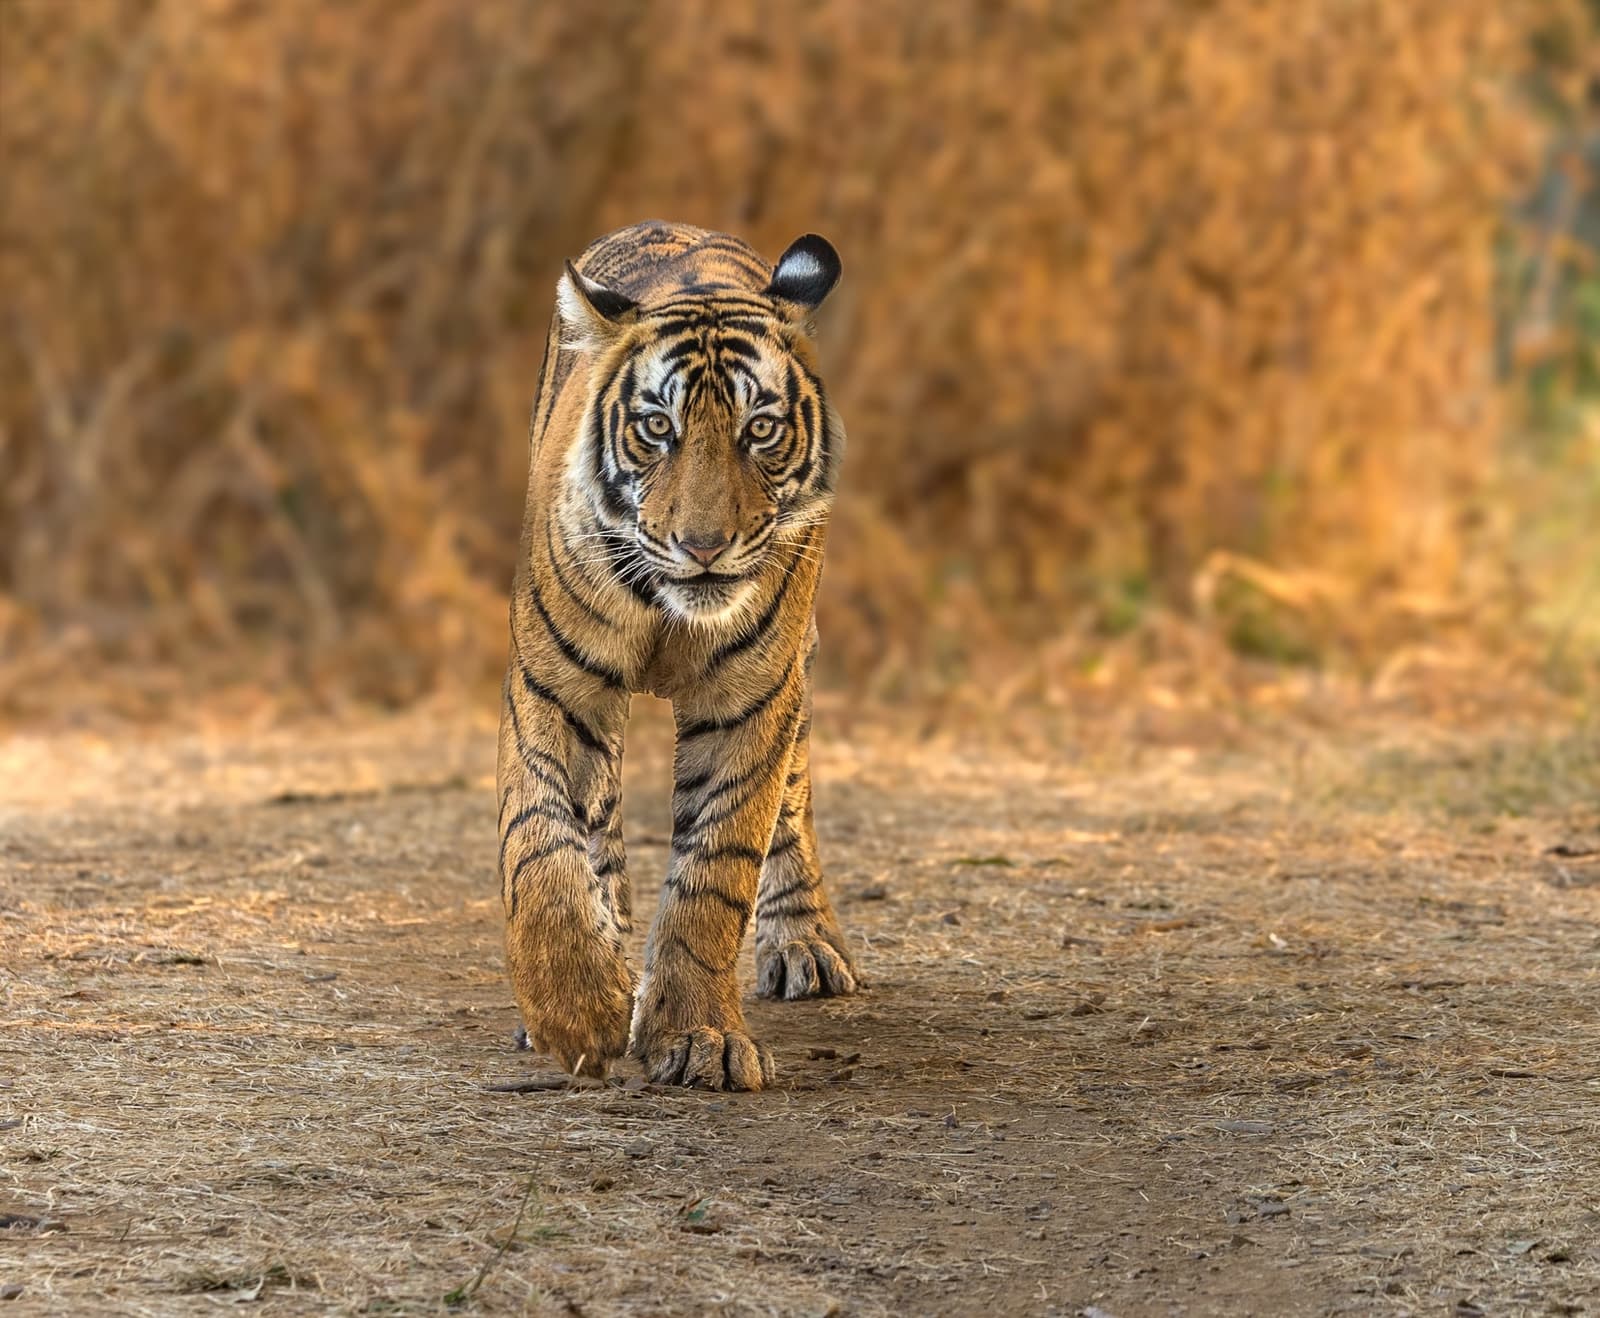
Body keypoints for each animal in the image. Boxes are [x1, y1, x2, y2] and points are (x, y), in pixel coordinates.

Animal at [496, 221, 858, 1091]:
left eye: (760, 429)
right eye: (658, 427)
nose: (702, 547)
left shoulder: (752, 702)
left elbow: (716, 873)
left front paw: (699, 1036)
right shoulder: (551, 689)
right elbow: (539, 844)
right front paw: (576, 1008)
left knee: (793, 800)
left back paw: (804, 944)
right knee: (595, 822)